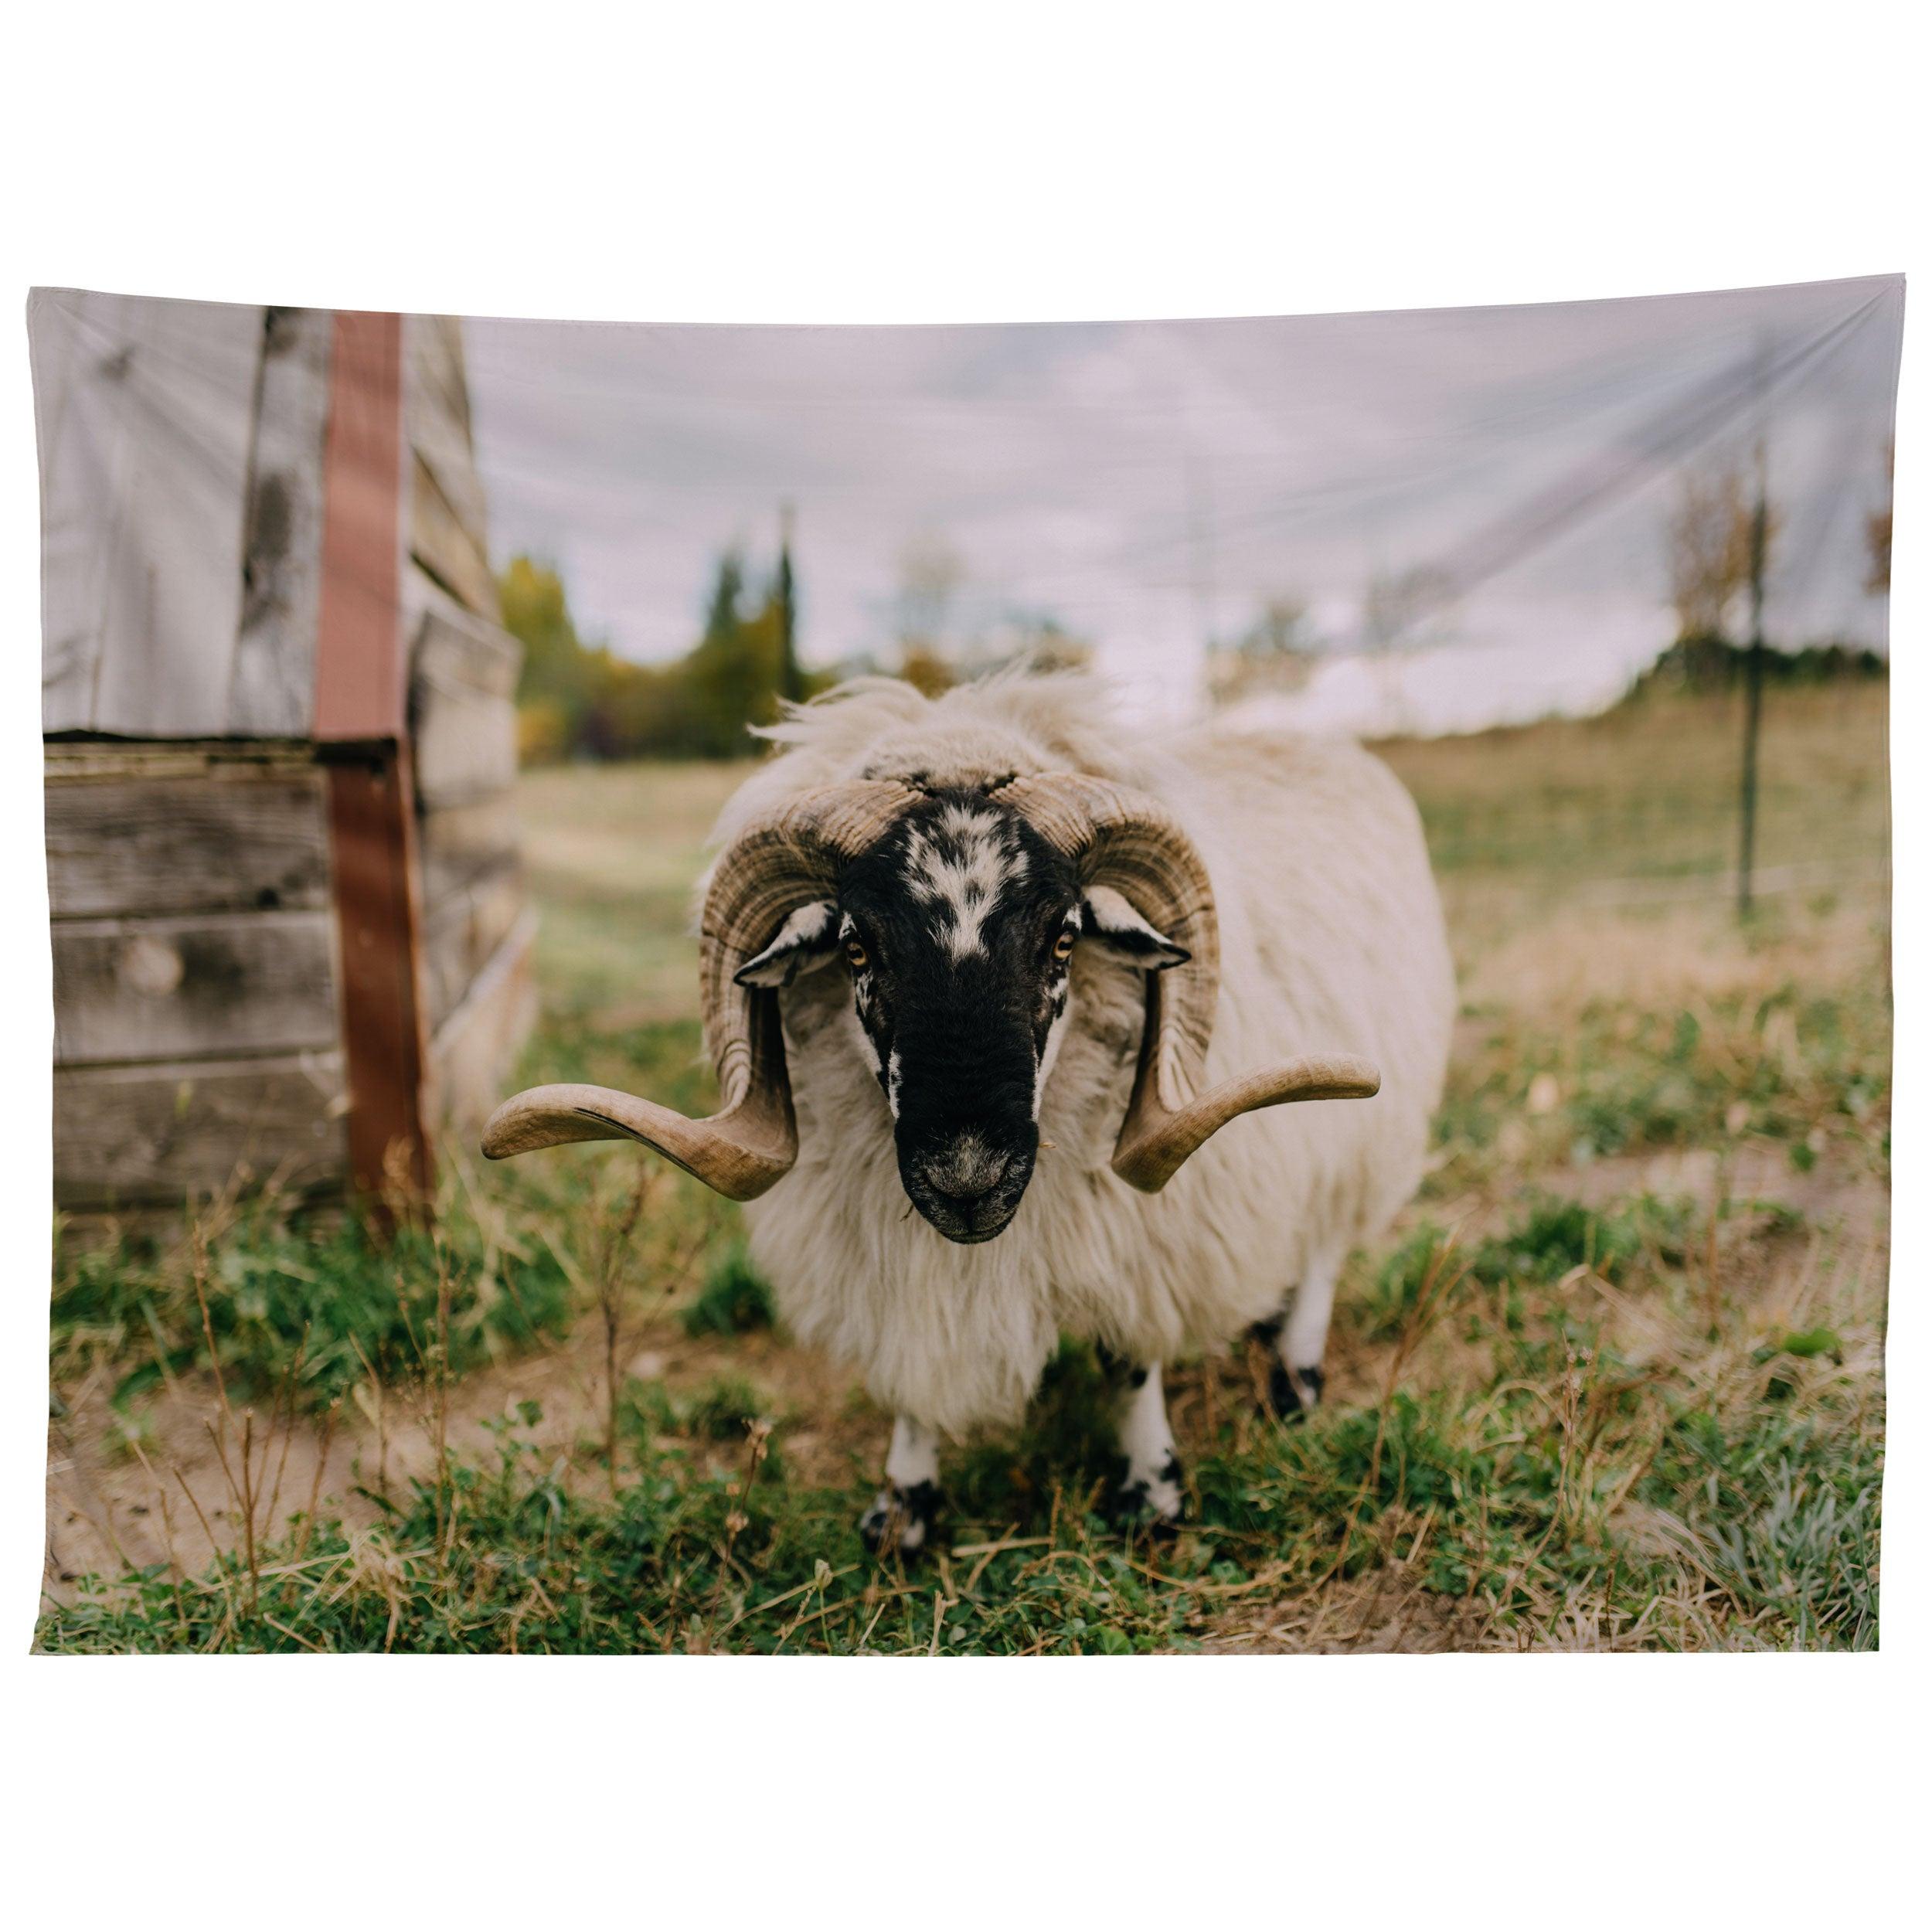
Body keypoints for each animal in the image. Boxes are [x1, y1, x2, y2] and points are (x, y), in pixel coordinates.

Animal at [484, 666, 1455, 1551]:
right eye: (855, 947)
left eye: (1064, 938)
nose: (966, 1180)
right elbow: (914, 1360)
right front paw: (904, 1505)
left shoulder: (1140, 1227)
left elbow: (1126, 1357)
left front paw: (1152, 1490)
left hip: (1359, 1120)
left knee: (1324, 1242)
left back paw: (1295, 1372)